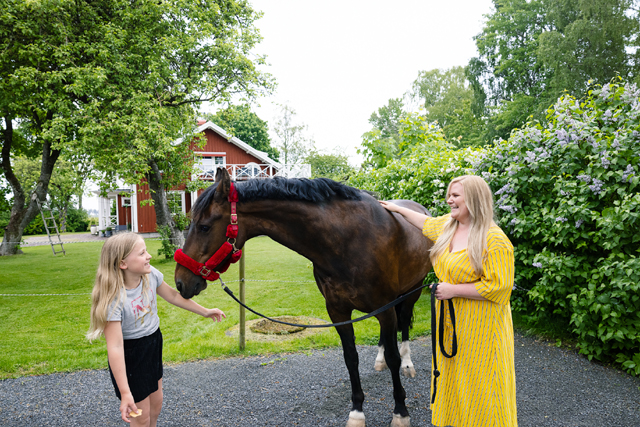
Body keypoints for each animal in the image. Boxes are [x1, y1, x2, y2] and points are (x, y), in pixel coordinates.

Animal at [172, 170, 432, 427]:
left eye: (204, 227)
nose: (180, 282)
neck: (347, 241)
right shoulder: (338, 312)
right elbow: (351, 358)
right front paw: (357, 413)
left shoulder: (385, 309)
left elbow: (393, 357)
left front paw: (400, 412)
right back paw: (379, 361)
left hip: (412, 291)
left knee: (404, 324)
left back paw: (408, 364)